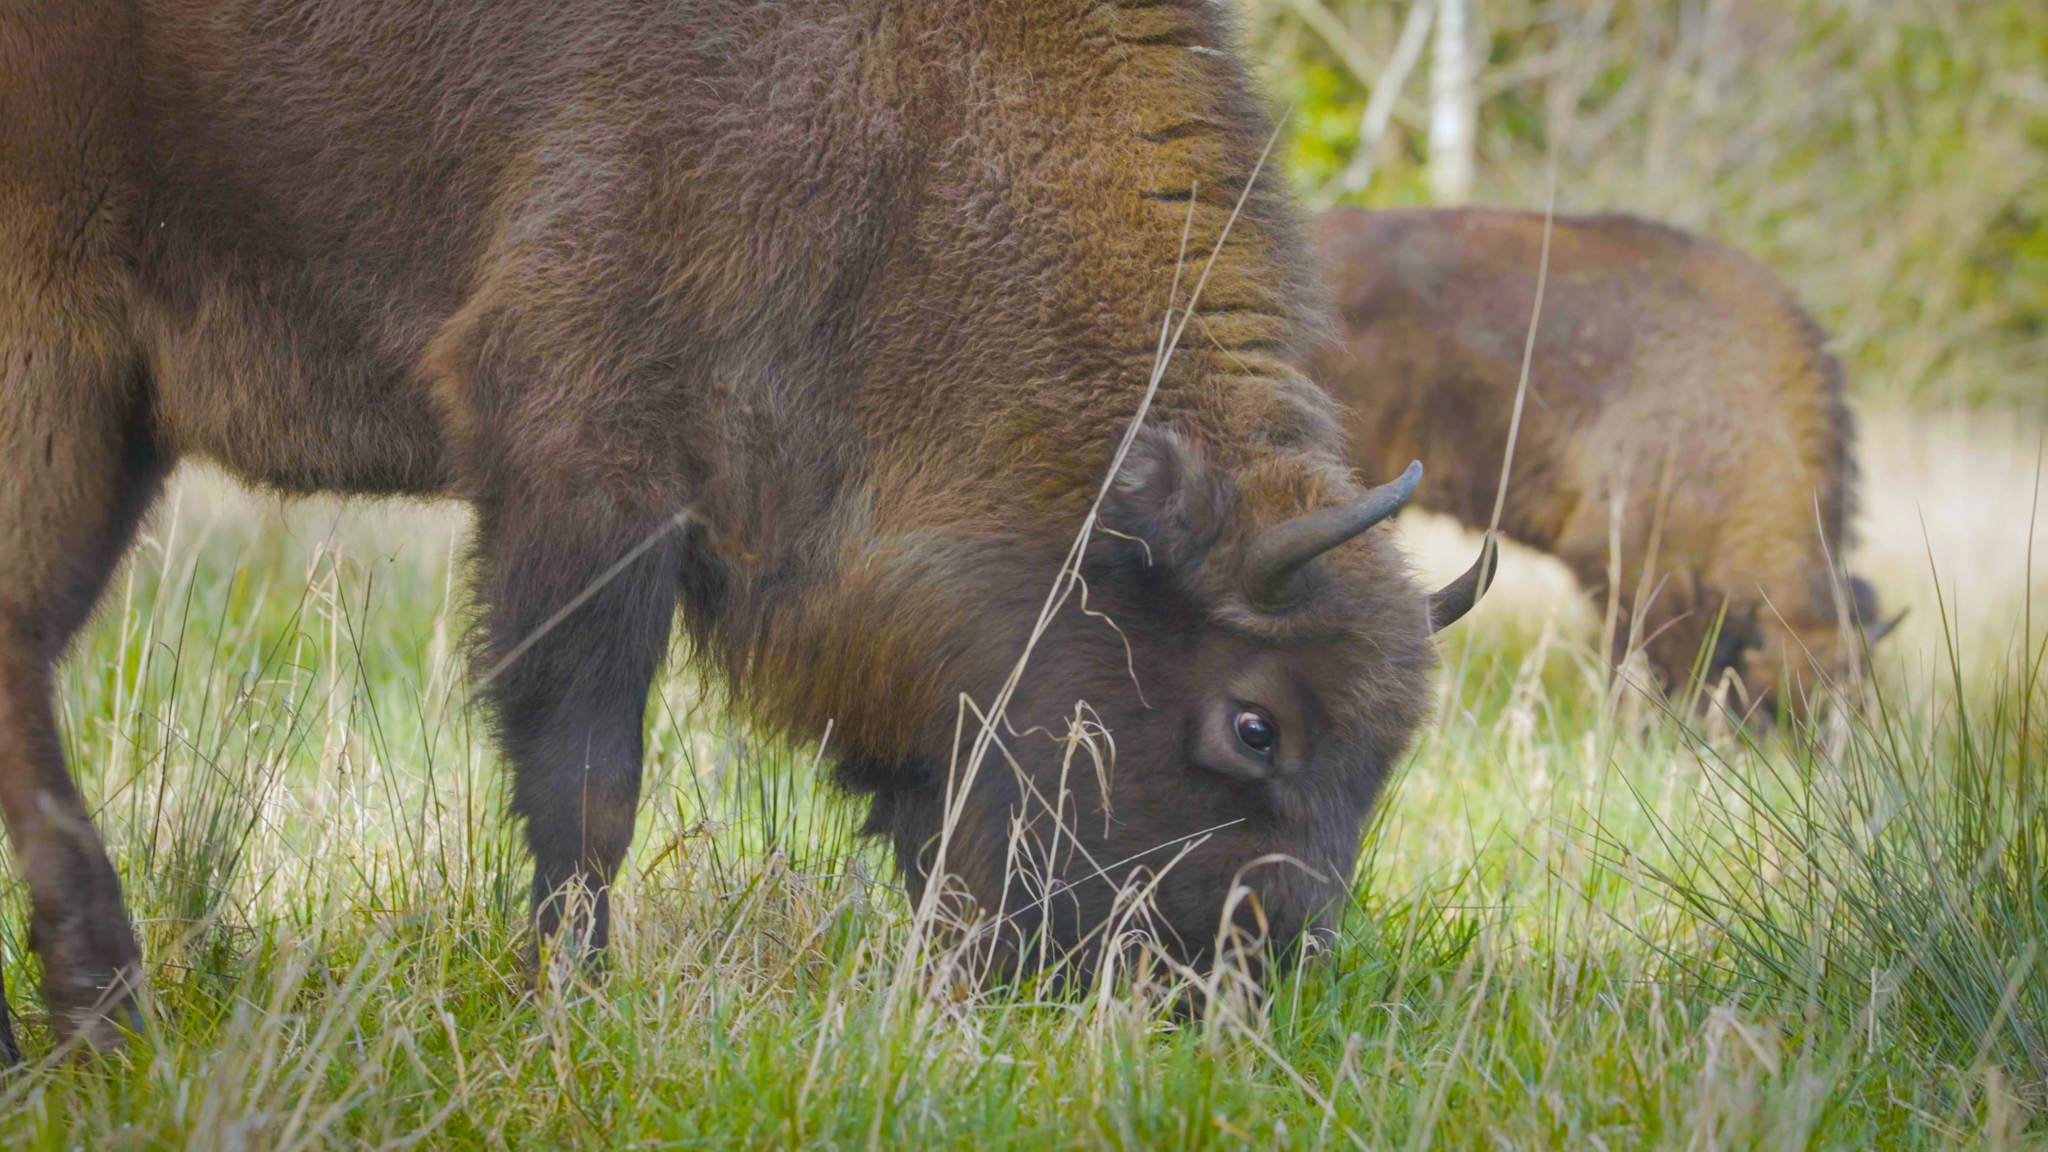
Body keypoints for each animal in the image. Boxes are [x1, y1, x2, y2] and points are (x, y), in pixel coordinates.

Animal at [0, 1, 1485, 1057]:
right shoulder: (585, 462)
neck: (917, 136)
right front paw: (570, 1008)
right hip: (61, 366)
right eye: (1254, 724)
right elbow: (589, 778)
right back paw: (103, 1015)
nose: (1227, 993)